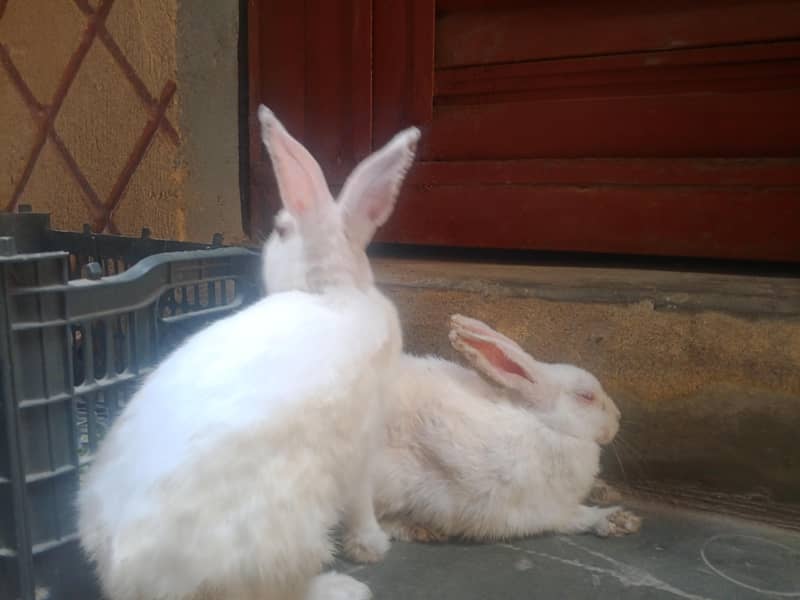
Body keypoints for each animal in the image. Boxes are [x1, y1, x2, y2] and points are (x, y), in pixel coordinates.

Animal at [77, 105, 419, 600]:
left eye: (279, 230)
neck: (332, 290)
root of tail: (128, 575)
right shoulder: (362, 446)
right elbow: (359, 503)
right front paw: (373, 545)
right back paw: (341, 587)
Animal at [373, 314, 642, 543]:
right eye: (586, 397)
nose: (618, 418)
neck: (547, 427)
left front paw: (608, 493)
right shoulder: (535, 509)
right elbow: (575, 517)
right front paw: (618, 519)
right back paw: (420, 529)